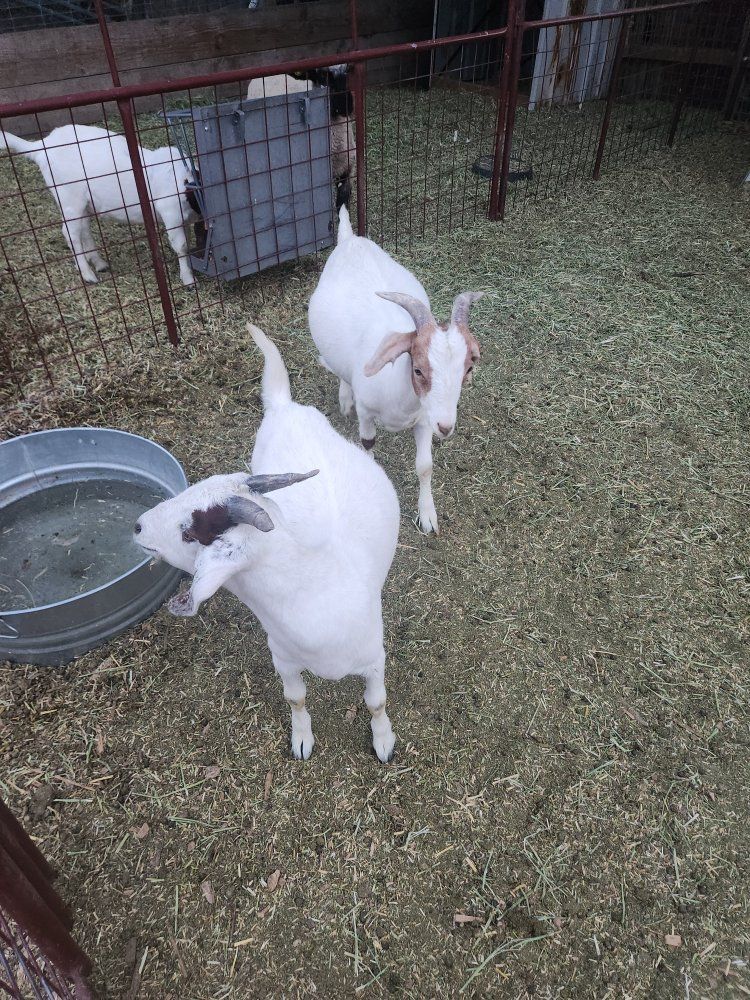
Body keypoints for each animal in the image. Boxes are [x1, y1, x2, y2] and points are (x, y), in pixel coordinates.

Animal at [0, 124, 201, 286]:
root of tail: (43, 145)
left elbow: (188, 239)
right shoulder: (171, 211)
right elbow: (182, 245)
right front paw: (188, 279)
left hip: (85, 203)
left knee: (84, 229)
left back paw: (99, 264)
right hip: (69, 197)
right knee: (70, 233)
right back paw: (88, 274)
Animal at [134, 323, 400, 763]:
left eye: (190, 532)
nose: (138, 526)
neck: (313, 588)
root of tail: (284, 406)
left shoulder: (374, 657)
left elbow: (375, 702)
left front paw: (383, 741)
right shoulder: (284, 658)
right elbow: (296, 699)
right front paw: (302, 739)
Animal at [308, 206, 483, 535]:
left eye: (468, 368)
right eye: (417, 369)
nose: (446, 427)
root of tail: (350, 239)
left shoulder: (424, 418)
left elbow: (425, 466)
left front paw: (428, 516)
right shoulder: (367, 414)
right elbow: (367, 445)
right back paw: (344, 398)